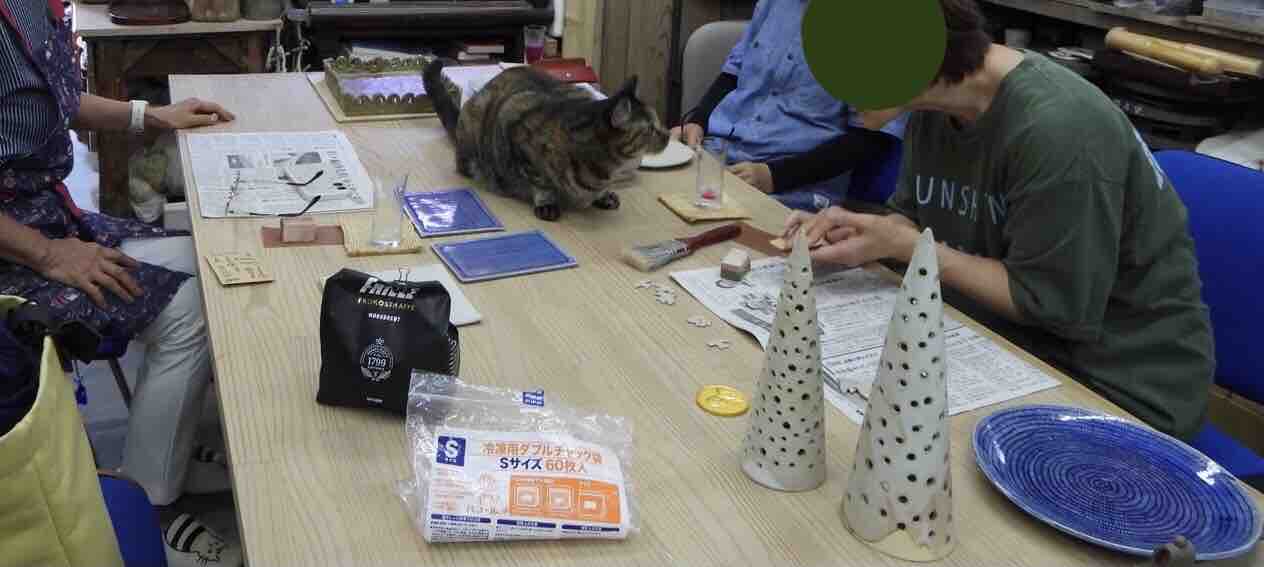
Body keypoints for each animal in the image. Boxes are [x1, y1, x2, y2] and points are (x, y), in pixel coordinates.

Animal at [423, 59, 670, 221]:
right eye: (650, 129)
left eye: (659, 121)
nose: (667, 134)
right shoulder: (517, 132)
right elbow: (541, 182)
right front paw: (547, 201)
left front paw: (603, 195)